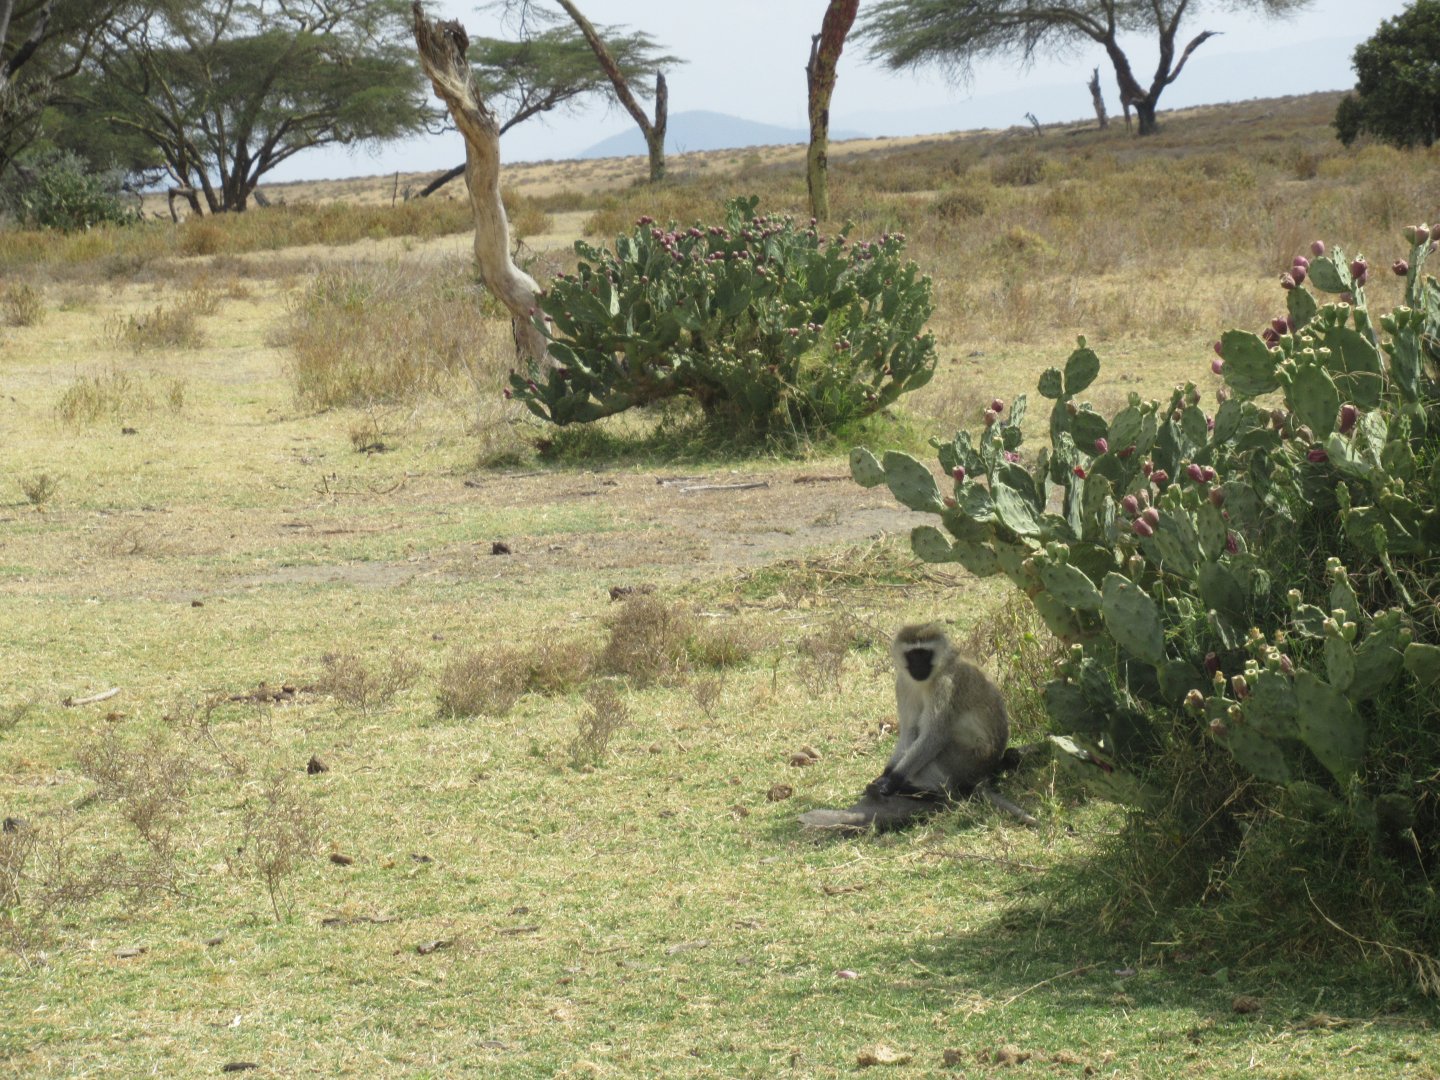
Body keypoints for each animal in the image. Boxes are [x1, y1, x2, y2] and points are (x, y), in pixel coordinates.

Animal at [799, 623, 1037, 831]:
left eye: (925, 654)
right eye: (913, 655)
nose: (918, 667)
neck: (932, 676)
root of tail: (986, 772)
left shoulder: (946, 685)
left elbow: (934, 736)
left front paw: (891, 783)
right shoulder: (903, 684)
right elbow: (909, 730)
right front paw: (884, 775)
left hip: (968, 762)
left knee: (939, 753)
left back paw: (927, 791)